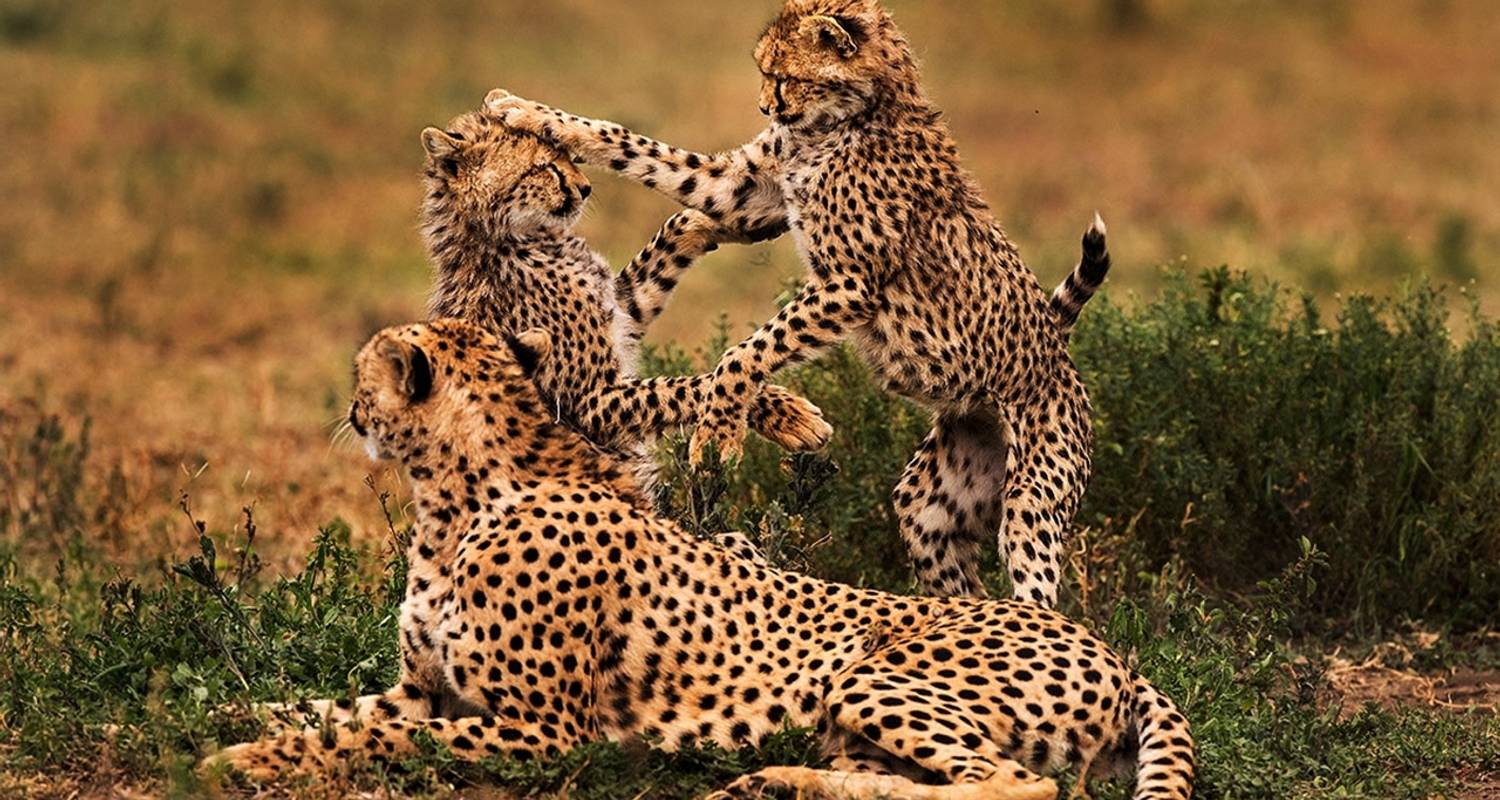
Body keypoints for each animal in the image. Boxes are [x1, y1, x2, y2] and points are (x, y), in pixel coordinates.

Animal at [202, 319, 1194, 798]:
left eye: (364, 372)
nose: (348, 407)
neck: (460, 497)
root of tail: (1117, 652)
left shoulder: (541, 731)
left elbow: (369, 734)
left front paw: (244, 762)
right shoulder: (423, 688)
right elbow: (317, 706)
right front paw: (213, 719)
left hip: (870, 676)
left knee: (1021, 785)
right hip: (854, 721)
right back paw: (774, 784)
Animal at [417, 107, 834, 486]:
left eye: (569, 155)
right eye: (543, 167)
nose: (585, 187)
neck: (507, 238)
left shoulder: (623, 313)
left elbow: (672, 234)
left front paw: (731, 217)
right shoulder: (591, 400)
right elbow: (685, 387)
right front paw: (787, 413)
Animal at [486, 0, 1110, 606]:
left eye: (784, 77)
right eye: (767, 74)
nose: (765, 107)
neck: (849, 118)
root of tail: (1059, 350)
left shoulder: (850, 283)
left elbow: (746, 352)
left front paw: (718, 435)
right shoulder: (742, 192)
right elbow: (631, 144)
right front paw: (524, 111)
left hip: (1033, 495)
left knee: (1037, 584)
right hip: (933, 501)